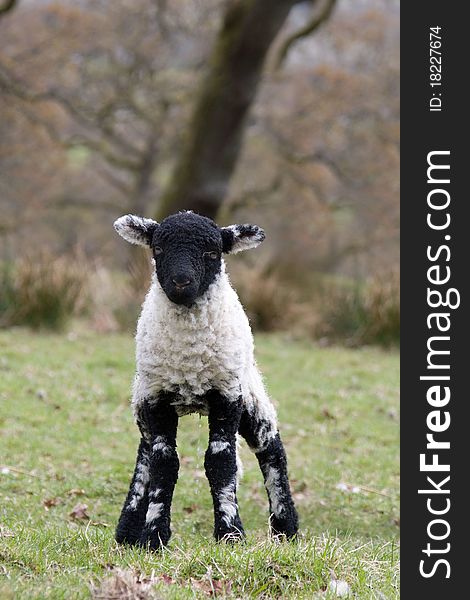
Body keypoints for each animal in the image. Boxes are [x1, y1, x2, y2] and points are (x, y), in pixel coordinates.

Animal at [113, 211, 298, 548]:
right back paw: (128, 528)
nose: (181, 282)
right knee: (145, 452)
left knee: (271, 447)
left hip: (248, 391)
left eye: (212, 253)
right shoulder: (157, 398)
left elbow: (220, 462)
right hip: (143, 396)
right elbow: (164, 464)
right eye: (157, 249)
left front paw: (230, 533)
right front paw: (153, 536)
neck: (190, 359)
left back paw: (285, 527)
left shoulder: (226, 395)